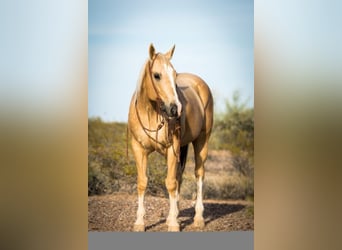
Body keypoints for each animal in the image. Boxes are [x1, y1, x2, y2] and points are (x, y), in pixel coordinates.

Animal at [128, 44, 214, 231]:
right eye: (157, 75)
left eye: (175, 75)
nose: (176, 109)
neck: (150, 112)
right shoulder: (139, 149)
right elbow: (142, 182)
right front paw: (139, 222)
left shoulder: (171, 147)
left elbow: (170, 183)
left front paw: (174, 224)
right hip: (182, 147)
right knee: (179, 176)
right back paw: (173, 215)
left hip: (201, 141)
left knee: (199, 174)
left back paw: (198, 218)